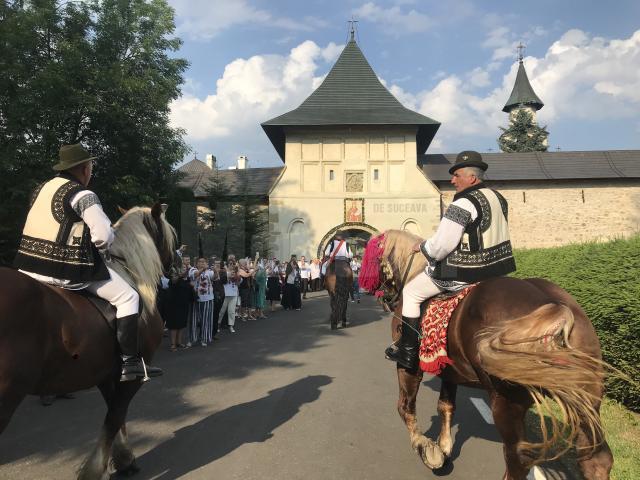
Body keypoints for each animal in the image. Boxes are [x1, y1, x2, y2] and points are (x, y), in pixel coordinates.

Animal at [0, 202, 175, 480]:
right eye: (168, 235)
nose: (175, 263)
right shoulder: (132, 377)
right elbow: (114, 418)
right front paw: (97, 469)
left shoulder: (107, 375)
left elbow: (117, 417)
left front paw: (123, 459)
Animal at [360, 228, 616, 480]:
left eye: (367, 257)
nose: (378, 294)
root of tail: (555, 306)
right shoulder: (449, 371)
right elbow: (445, 406)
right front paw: (444, 447)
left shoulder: (408, 366)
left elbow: (405, 407)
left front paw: (428, 449)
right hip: (586, 399)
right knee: (596, 459)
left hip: (506, 401)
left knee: (518, 458)